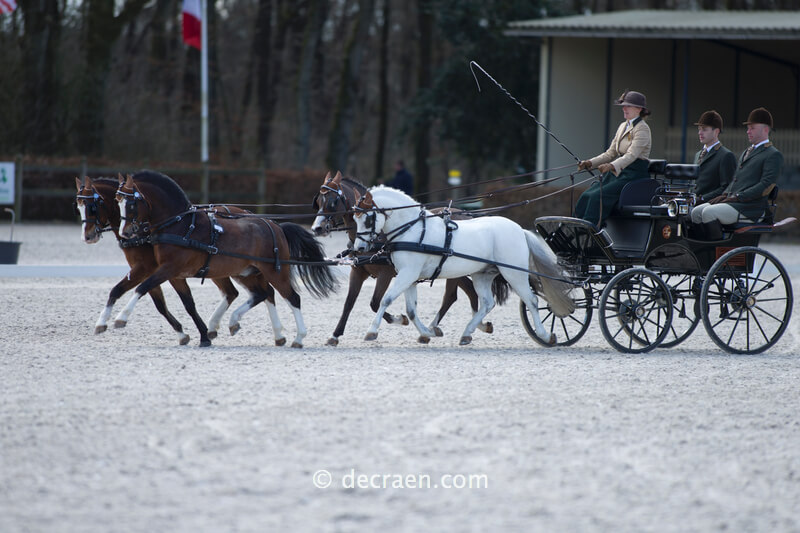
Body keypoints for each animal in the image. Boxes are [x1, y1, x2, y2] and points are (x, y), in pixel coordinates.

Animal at [75, 176, 284, 345]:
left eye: (93, 207)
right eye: (78, 207)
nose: (87, 237)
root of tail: (251, 214)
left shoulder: (151, 269)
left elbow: (155, 298)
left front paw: (191, 334)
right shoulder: (158, 271)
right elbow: (154, 300)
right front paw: (189, 334)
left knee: (264, 292)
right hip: (231, 270)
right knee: (245, 293)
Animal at [114, 171, 337, 347]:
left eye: (131, 203)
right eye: (118, 201)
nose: (125, 233)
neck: (181, 224)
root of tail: (275, 225)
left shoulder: (168, 268)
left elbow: (142, 288)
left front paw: (119, 318)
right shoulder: (170, 272)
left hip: (275, 271)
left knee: (292, 298)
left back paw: (298, 337)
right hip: (247, 272)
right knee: (263, 294)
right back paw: (248, 327)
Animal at [311, 171, 507, 345]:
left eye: (333, 202)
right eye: (318, 201)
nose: (316, 228)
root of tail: (468, 214)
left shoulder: (387, 274)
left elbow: (375, 302)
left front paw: (398, 320)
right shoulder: (358, 272)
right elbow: (349, 304)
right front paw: (335, 335)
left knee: (451, 296)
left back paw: (442, 328)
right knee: (469, 293)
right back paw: (472, 326)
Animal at [352, 186, 575, 345]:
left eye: (368, 218)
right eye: (355, 217)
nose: (359, 248)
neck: (412, 230)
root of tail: (519, 229)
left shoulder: (408, 274)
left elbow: (386, 300)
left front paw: (371, 331)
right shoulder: (409, 277)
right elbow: (411, 310)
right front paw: (426, 332)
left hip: (514, 274)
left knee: (532, 301)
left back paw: (545, 335)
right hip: (482, 275)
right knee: (487, 303)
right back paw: (467, 333)